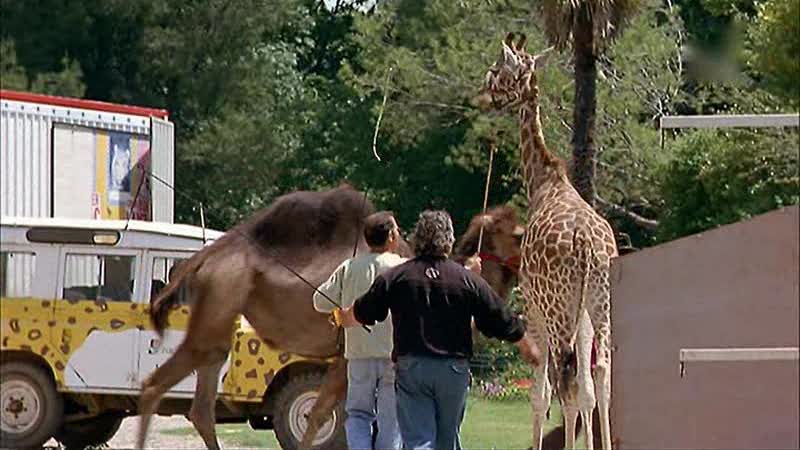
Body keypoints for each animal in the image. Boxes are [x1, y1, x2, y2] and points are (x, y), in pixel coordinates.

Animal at [476, 32, 620, 450]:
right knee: (600, 374)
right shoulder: (582, 311)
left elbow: (541, 394)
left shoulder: (533, 307)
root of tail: (587, 244)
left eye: (498, 70)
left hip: (558, 313)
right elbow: (584, 386)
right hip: (599, 303)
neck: (543, 180)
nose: (482, 95)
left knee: (566, 380)